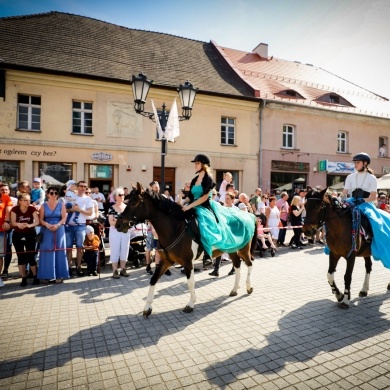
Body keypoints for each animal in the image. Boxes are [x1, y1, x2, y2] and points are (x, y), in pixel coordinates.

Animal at [114, 183, 258, 316]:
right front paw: (147, 307)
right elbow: (153, 280)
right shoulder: (165, 261)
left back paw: (249, 287)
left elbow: (190, 283)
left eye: (133, 203)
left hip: (243, 248)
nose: (118, 225)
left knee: (249, 264)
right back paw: (235, 289)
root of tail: (249, 215)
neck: (175, 228)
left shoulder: (188, 262)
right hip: (232, 248)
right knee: (238, 265)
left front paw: (190, 304)